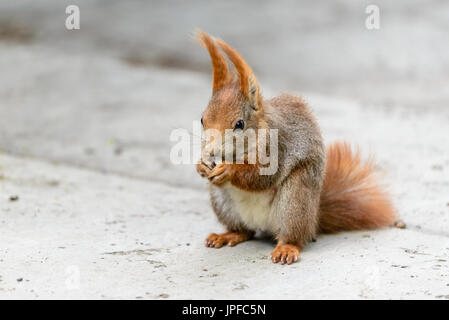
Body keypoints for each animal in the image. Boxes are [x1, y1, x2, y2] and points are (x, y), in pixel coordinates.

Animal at [194, 30, 398, 264]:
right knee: (245, 231)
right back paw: (228, 235)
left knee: (292, 235)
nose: (211, 152)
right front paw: (201, 165)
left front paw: (229, 169)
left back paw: (286, 247)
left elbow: (262, 175)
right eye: (202, 119)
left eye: (239, 124)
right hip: (224, 204)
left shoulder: (279, 145)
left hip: (295, 202)